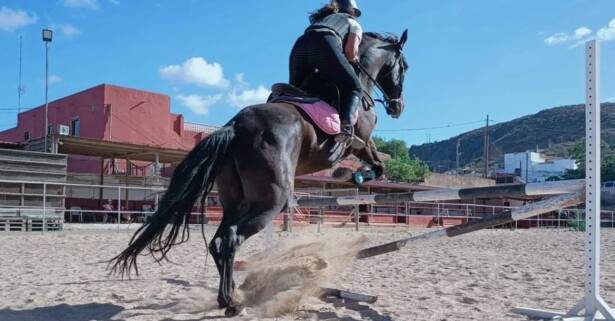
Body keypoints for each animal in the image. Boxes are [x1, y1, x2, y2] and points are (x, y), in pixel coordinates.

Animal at [110, 29, 410, 316]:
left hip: (236, 202)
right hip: (272, 202)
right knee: (231, 239)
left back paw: (232, 294)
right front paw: (352, 176)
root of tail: (235, 127)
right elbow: (378, 165)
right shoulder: (361, 141)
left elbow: (378, 165)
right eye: (403, 67)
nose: (398, 107)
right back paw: (231, 302)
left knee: (219, 241)